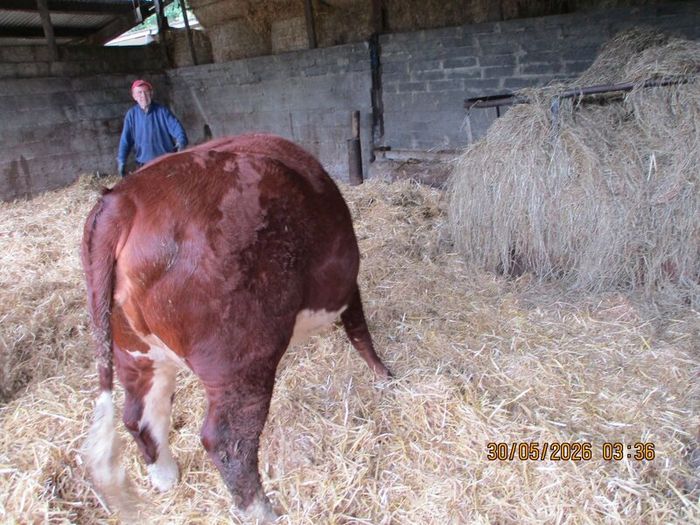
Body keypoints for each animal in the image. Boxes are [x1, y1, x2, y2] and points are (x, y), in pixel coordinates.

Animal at [81, 133, 391, 521]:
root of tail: (121, 201)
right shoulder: (347, 286)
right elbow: (360, 330)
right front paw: (384, 375)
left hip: (133, 350)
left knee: (140, 416)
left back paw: (166, 478)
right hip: (239, 358)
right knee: (226, 441)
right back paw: (263, 512)